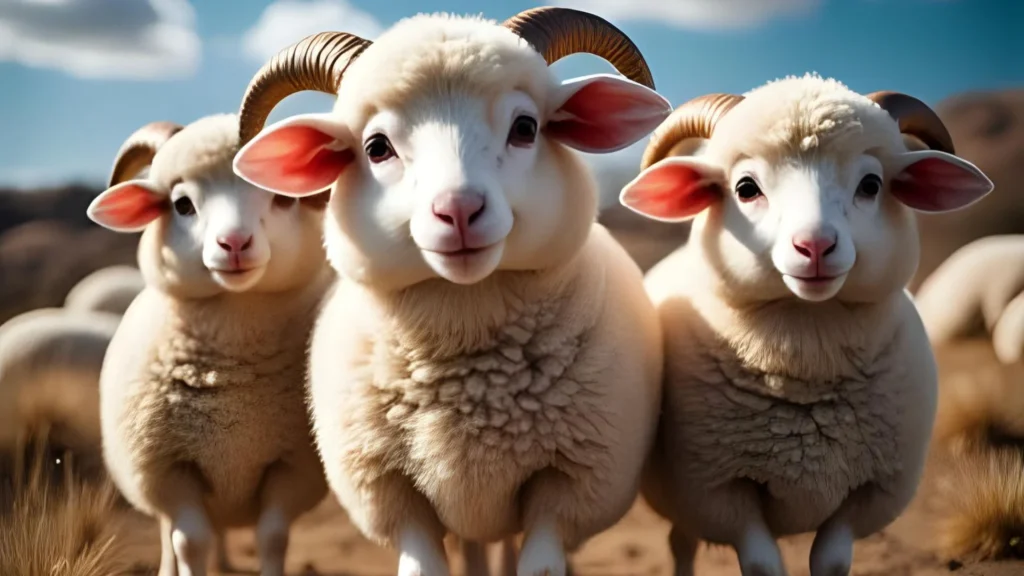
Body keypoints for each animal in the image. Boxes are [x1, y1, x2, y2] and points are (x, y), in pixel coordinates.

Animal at [85, 114, 334, 576]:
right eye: (182, 205)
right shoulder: (169, 470)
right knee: (171, 536)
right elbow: (189, 542)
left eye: (281, 197)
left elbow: (273, 538)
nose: (233, 244)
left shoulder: (291, 468)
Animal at [618, 73, 995, 576]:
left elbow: (831, 562)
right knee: (682, 544)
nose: (815, 246)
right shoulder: (721, 493)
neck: (808, 360)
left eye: (871, 184)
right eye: (745, 188)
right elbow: (763, 565)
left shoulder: (868, 493)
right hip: (685, 501)